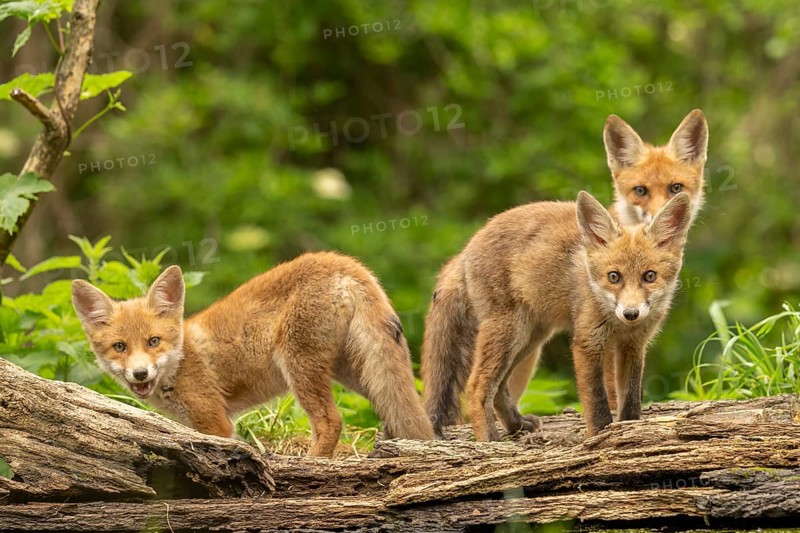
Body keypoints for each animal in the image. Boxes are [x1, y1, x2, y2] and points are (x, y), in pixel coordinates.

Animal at [72, 251, 434, 457]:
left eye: (153, 341)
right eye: (120, 347)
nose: (140, 374)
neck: (180, 363)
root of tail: (343, 262)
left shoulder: (216, 423)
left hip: (299, 365)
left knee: (331, 421)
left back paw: (312, 463)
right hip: (357, 372)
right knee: (405, 410)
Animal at [422, 191, 691, 440]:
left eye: (649, 276)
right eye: (614, 277)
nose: (631, 313)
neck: (618, 325)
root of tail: (466, 248)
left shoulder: (633, 345)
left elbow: (631, 397)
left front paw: (629, 430)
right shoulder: (588, 342)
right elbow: (596, 400)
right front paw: (600, 435)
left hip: (530, 339)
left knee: (499, 388)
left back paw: (517, 424)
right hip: (509, 333)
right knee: (477, 385)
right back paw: (489, 440)